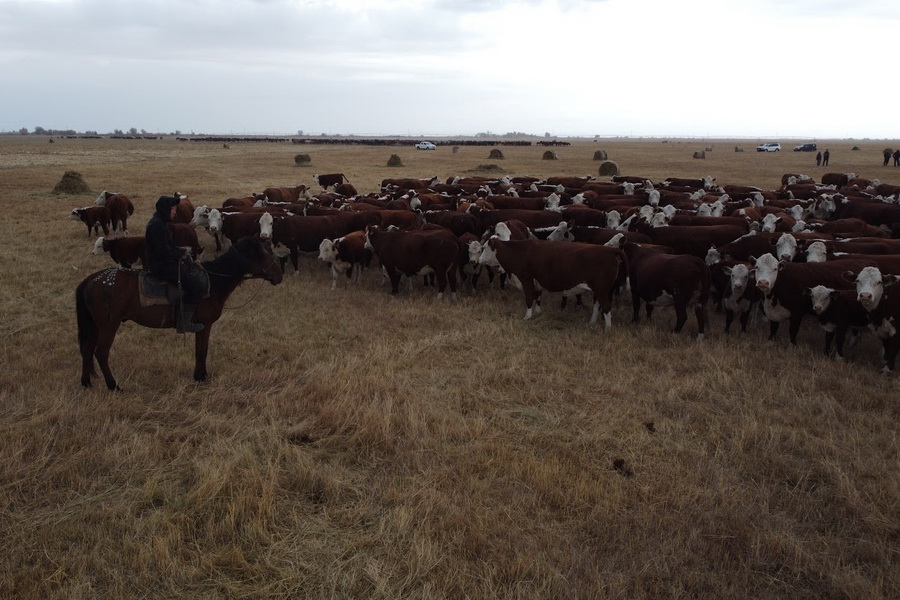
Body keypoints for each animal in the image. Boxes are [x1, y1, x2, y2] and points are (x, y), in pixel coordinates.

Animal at [76, 234, 282, 390]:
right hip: (109, 325)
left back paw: (86, 383)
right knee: (101, 353)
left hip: (95, 325)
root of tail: (91, 280)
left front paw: (200, 375)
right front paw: (200, 377)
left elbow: (201, 350)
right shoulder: (205, 325)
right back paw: (113, 385)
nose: (279, 276)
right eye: (263, 254)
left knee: (87, 350)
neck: (213, 282)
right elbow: (202, 351)